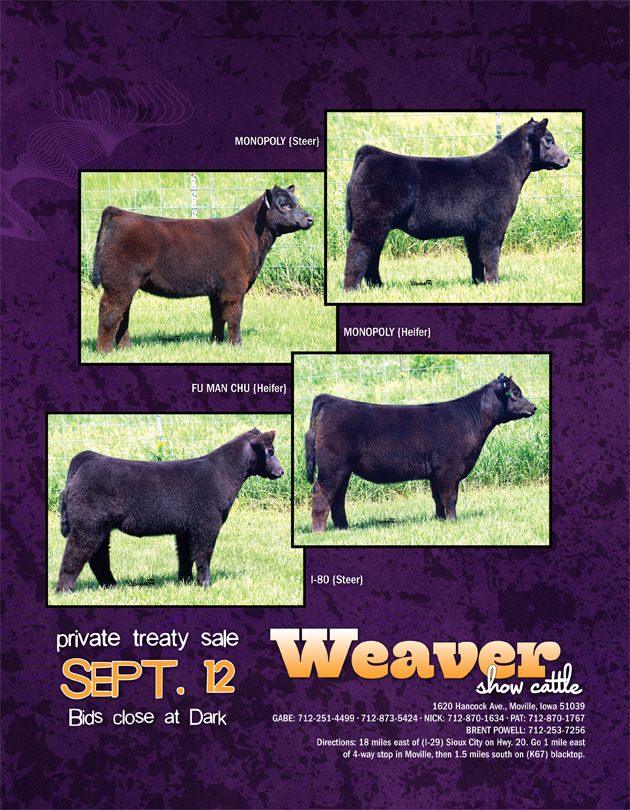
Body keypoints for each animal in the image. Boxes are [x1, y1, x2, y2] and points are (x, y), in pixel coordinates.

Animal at [55, 429, 283, 592]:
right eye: (270, 452)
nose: (281, 471)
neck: (222, 472)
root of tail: (88, 457)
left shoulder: (186, 528)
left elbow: (186, 556)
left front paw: (185, 582)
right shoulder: (207, 523)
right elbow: (203, 554)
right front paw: (205, 584)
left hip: (100, 526)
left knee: (98, 557)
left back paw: (112, 586)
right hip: (88, 523)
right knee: (75, 553)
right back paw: (64, 590)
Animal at [92, 185, 314, 351]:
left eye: (297, 203)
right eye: (284, 205)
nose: (310, 218)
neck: (251, 235)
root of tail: (120, 213)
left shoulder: (217, 290)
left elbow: (218, 316)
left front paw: (216, 343)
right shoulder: (233, 287)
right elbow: (234, 316)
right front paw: (236, 345)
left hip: (125, 284)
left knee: (123, 313)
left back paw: (125, 348)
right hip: (120, 281)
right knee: (110, 311)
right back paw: (104, 351)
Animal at [305, 374, 536, 531]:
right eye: (516, 394)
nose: (534, 407)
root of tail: (331, 400)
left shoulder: (435, 473)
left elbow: (438, 498)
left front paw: (440, 520)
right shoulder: (449, 469)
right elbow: (450, 497)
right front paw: (453, 521)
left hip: (343, 469)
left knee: (338, 498)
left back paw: (343, 528)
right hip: (332, 467)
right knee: (322, 494)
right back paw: (319, 531)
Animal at [343, 118, 570, 289]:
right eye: (548, 140)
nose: (567, 159)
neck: (509, 168)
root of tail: (371, 152)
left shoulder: (473, 230)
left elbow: (476, 257)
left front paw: (478, 283)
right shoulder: (494, 224)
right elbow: (491, 253)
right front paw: (493, 283)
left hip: (378, 225)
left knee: (373, 255)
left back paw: (378, 286)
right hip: (371, 222)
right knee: (358, 250)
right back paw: (352, 289)